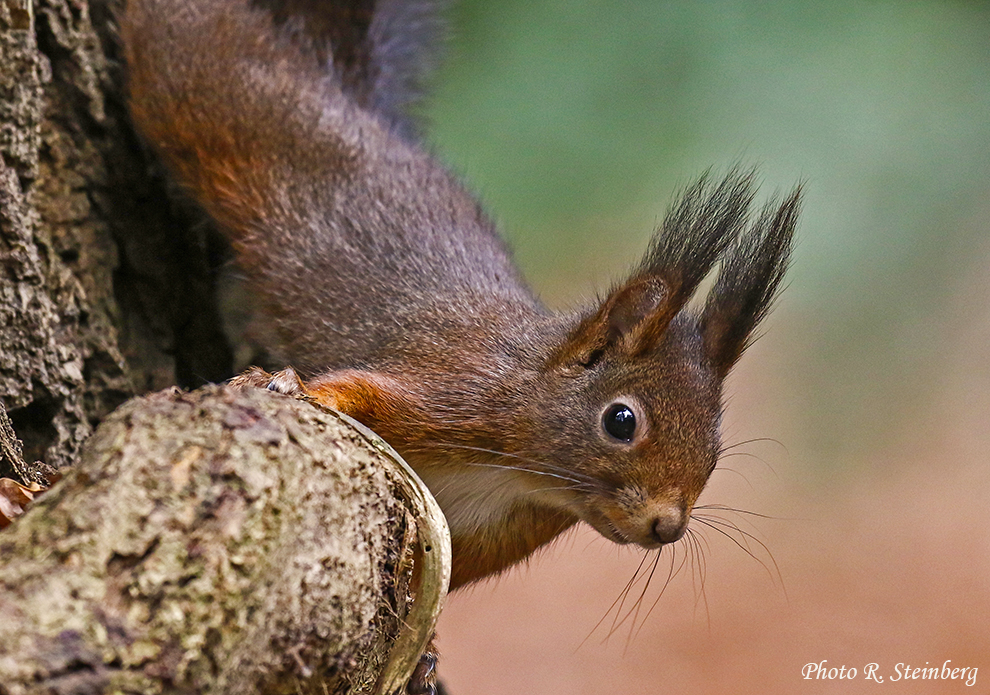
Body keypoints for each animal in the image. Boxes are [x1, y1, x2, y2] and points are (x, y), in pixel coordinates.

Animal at [120, 0, 804, 600]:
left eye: (715, 450)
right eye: (621, 421)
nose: (667, 527)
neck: (518, 470)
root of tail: (348, 100)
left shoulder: (494, 533)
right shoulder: (454, 389)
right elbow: (358, 389)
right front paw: (297, 388)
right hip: (213, 91)